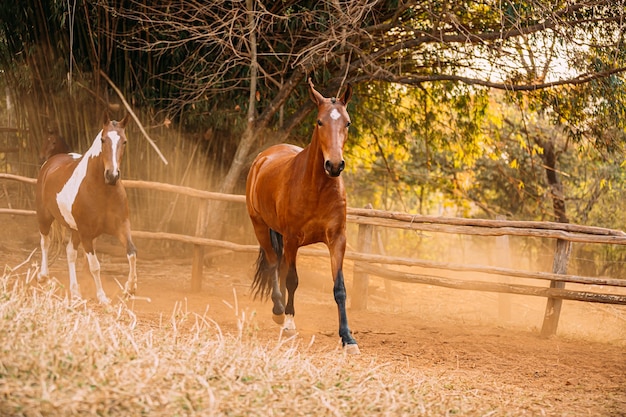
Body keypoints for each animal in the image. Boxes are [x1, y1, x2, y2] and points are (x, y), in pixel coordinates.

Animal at [36, 113, 136, 302]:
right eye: (103, 140)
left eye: (125, 141)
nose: (112, 175)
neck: (102, 190)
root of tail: (50, 163)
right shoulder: (87, 234)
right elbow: (95, 266)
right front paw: (102, 297)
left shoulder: (121, 226)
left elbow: (131, 253)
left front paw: (130, 288)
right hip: (45, 217)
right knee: (45, 242)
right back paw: (43, 276)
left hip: (74, 231)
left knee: (70, 252)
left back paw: (75, 291)